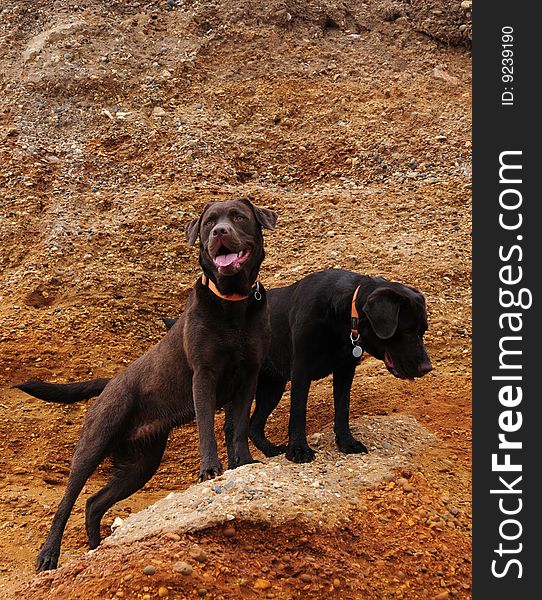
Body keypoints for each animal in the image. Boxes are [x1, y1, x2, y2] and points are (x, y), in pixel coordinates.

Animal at [16, 199, 276, 568]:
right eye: (209, 222)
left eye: (238, 217)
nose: (219, 232)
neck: (232, 303)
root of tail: (111, 382)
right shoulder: (203, 375)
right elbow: (207, 427)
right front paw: (210, 470)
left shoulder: (249, 376)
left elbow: (238, 426)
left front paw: (243, 462)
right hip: (95, 443)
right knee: (67, 502)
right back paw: (49, 555)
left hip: (140, 463)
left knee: (94, 503)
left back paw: (95, 547)